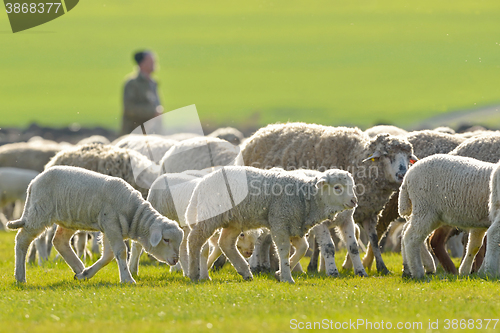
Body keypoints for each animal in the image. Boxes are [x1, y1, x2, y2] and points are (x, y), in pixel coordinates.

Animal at [6, 166, 184, 282]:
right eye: (166, 240)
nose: (176, 260)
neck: (134, 214)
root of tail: (33, 182)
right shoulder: (111, 223)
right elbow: (120, 252)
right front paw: (127, 279)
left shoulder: (111, 228)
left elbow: (108, 256)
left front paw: (86, 274)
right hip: (40, 212)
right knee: (22, 240)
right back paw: (20, 277)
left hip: (68, 218)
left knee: (59, 241)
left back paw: (79, 268)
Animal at [186, 165, 358, 282]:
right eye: (337, 187)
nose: (354, 201)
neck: (305, 196)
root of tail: (201, 184)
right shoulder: (280, 222)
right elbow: (284, 251)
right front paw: (287, 277)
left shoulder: (294, 224)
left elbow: (303, 248)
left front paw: (279, 273)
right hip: (210, 215)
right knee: (194, 240)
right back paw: (194, 274)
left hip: (234, 220)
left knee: (226, 243)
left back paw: (245, 272)